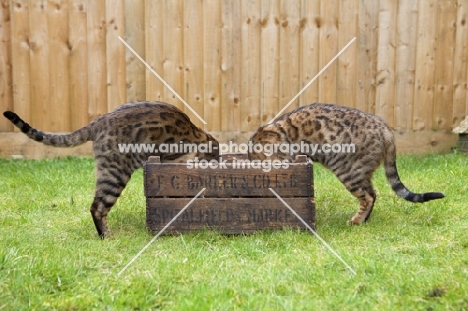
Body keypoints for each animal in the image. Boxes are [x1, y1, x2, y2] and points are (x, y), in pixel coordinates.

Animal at [247, 103, 444, 225]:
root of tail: (386, 129)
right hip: (361, 172)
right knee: (373, 193)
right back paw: (364, 220)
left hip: (348, 171)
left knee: (367, 197)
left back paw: (356, 221)